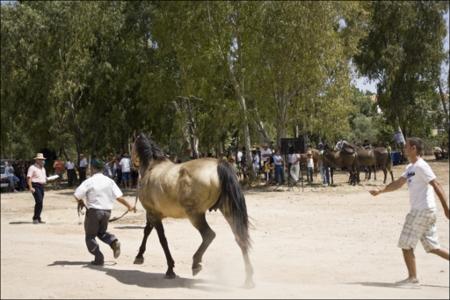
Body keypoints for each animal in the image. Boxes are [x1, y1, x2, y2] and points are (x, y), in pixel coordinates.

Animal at [132, 134, 255, 288]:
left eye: (132, 145)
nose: (132, 165)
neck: (152, 167)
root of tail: (219, 164)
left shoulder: (152, 213)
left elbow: (161, 239)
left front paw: (170, 269)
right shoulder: (155, 214)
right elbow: (147, 231)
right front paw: (139, 256)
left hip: (195, 215)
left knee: (209, 235)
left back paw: (196, 263)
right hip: (228, 211)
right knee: (240, 238)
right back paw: (248, 280)